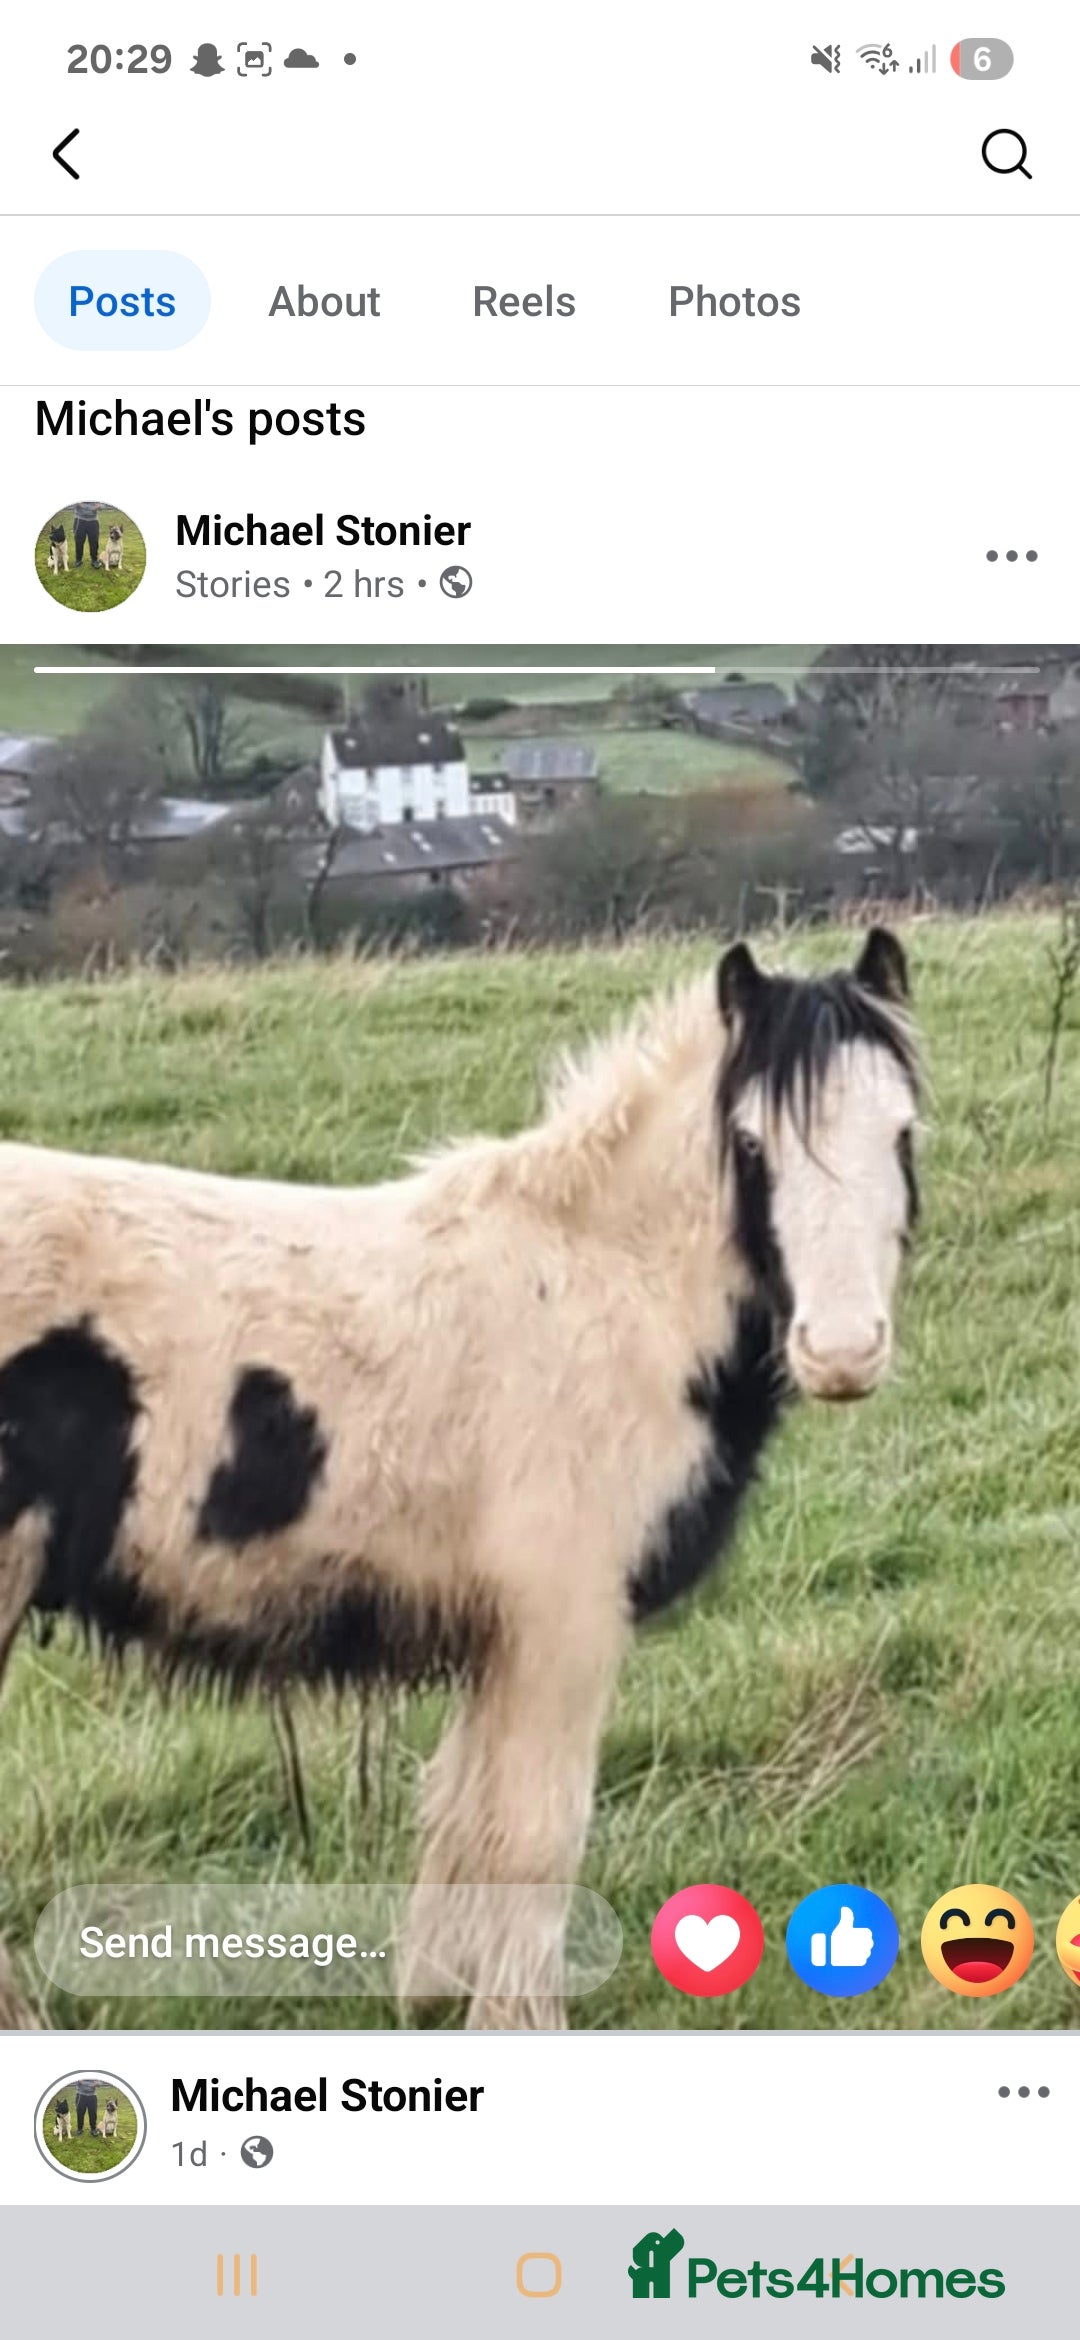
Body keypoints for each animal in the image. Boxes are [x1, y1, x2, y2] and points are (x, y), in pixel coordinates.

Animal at [0, 926, 919, 2028]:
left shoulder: (499, 1633)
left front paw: (437, 1998)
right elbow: (534, 1833)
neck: (603, 1288)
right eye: (749, 1145)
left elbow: (462, 1818)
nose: (843, 1352)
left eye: (902, 1135)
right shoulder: (561, 1624)